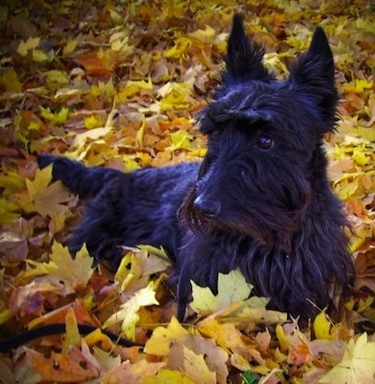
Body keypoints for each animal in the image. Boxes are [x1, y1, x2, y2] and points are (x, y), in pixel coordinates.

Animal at [39, 15, 356, 320]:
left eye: (266, 140)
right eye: (215, 132)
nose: (203, 207)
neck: (274, 238)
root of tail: (122, 175)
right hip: (89, 238)